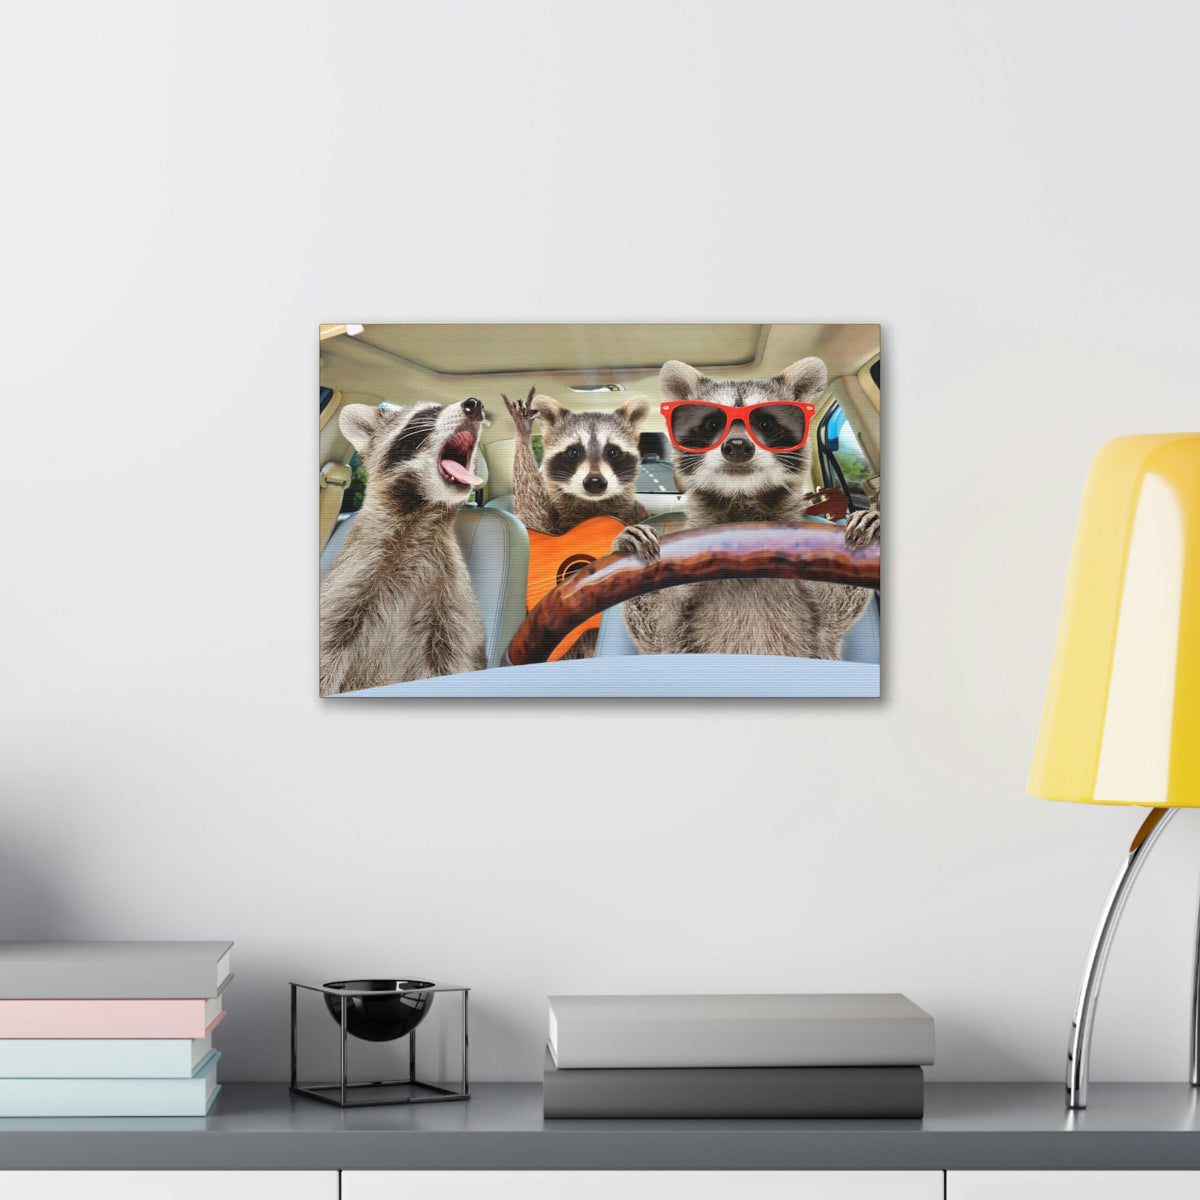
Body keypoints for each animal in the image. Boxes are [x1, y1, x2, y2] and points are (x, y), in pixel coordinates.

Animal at [319, 398, 488, 695]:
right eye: (428, 413)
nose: (475, 404)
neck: (421, 510)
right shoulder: (354, 574)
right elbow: (326, 647)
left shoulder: (450, 601)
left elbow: (453, 657)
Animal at [503, 388, 652, 535]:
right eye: (574, 452)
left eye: (613, 452)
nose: (595, 482)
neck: (593, 504)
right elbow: (531, 514)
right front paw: (522, 432)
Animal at [614, 359, 881, 659]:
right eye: (712, 423)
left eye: (765, 422)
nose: (738, 446)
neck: (742, 503)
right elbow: (660, 631)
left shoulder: (818, 623)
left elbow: (836, 609)